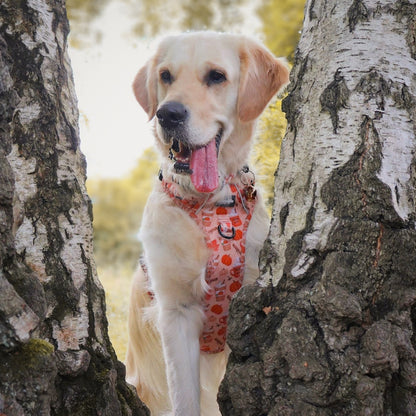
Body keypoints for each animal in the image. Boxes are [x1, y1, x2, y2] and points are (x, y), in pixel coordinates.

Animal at [127, 30, 290, 414]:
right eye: (166, 76)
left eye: (216, 76)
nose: (167, 114)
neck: (212, 203)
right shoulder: (177, 312)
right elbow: (185, 397)